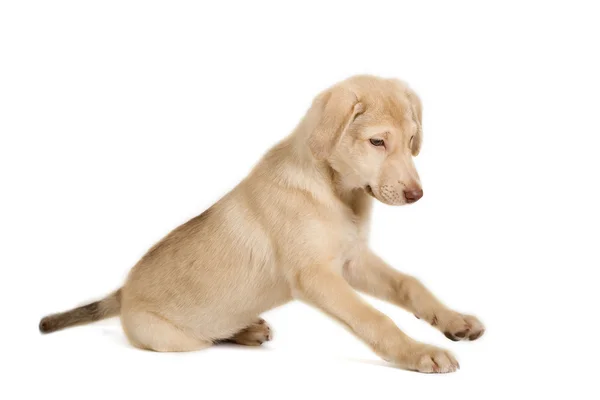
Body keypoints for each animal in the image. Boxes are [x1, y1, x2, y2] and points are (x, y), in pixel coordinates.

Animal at [39, 76, 482, 376]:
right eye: (377, 142)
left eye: (411, 141)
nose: (416, 195)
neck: (336, 193)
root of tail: (122, 292)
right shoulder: (317, 277)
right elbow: (373, 317)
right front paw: (418, 352)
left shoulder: (353, 260)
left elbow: (410, 284)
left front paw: (453, 320)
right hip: (174, 339)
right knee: (205, 336)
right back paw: (244, 330)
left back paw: (249, 328)